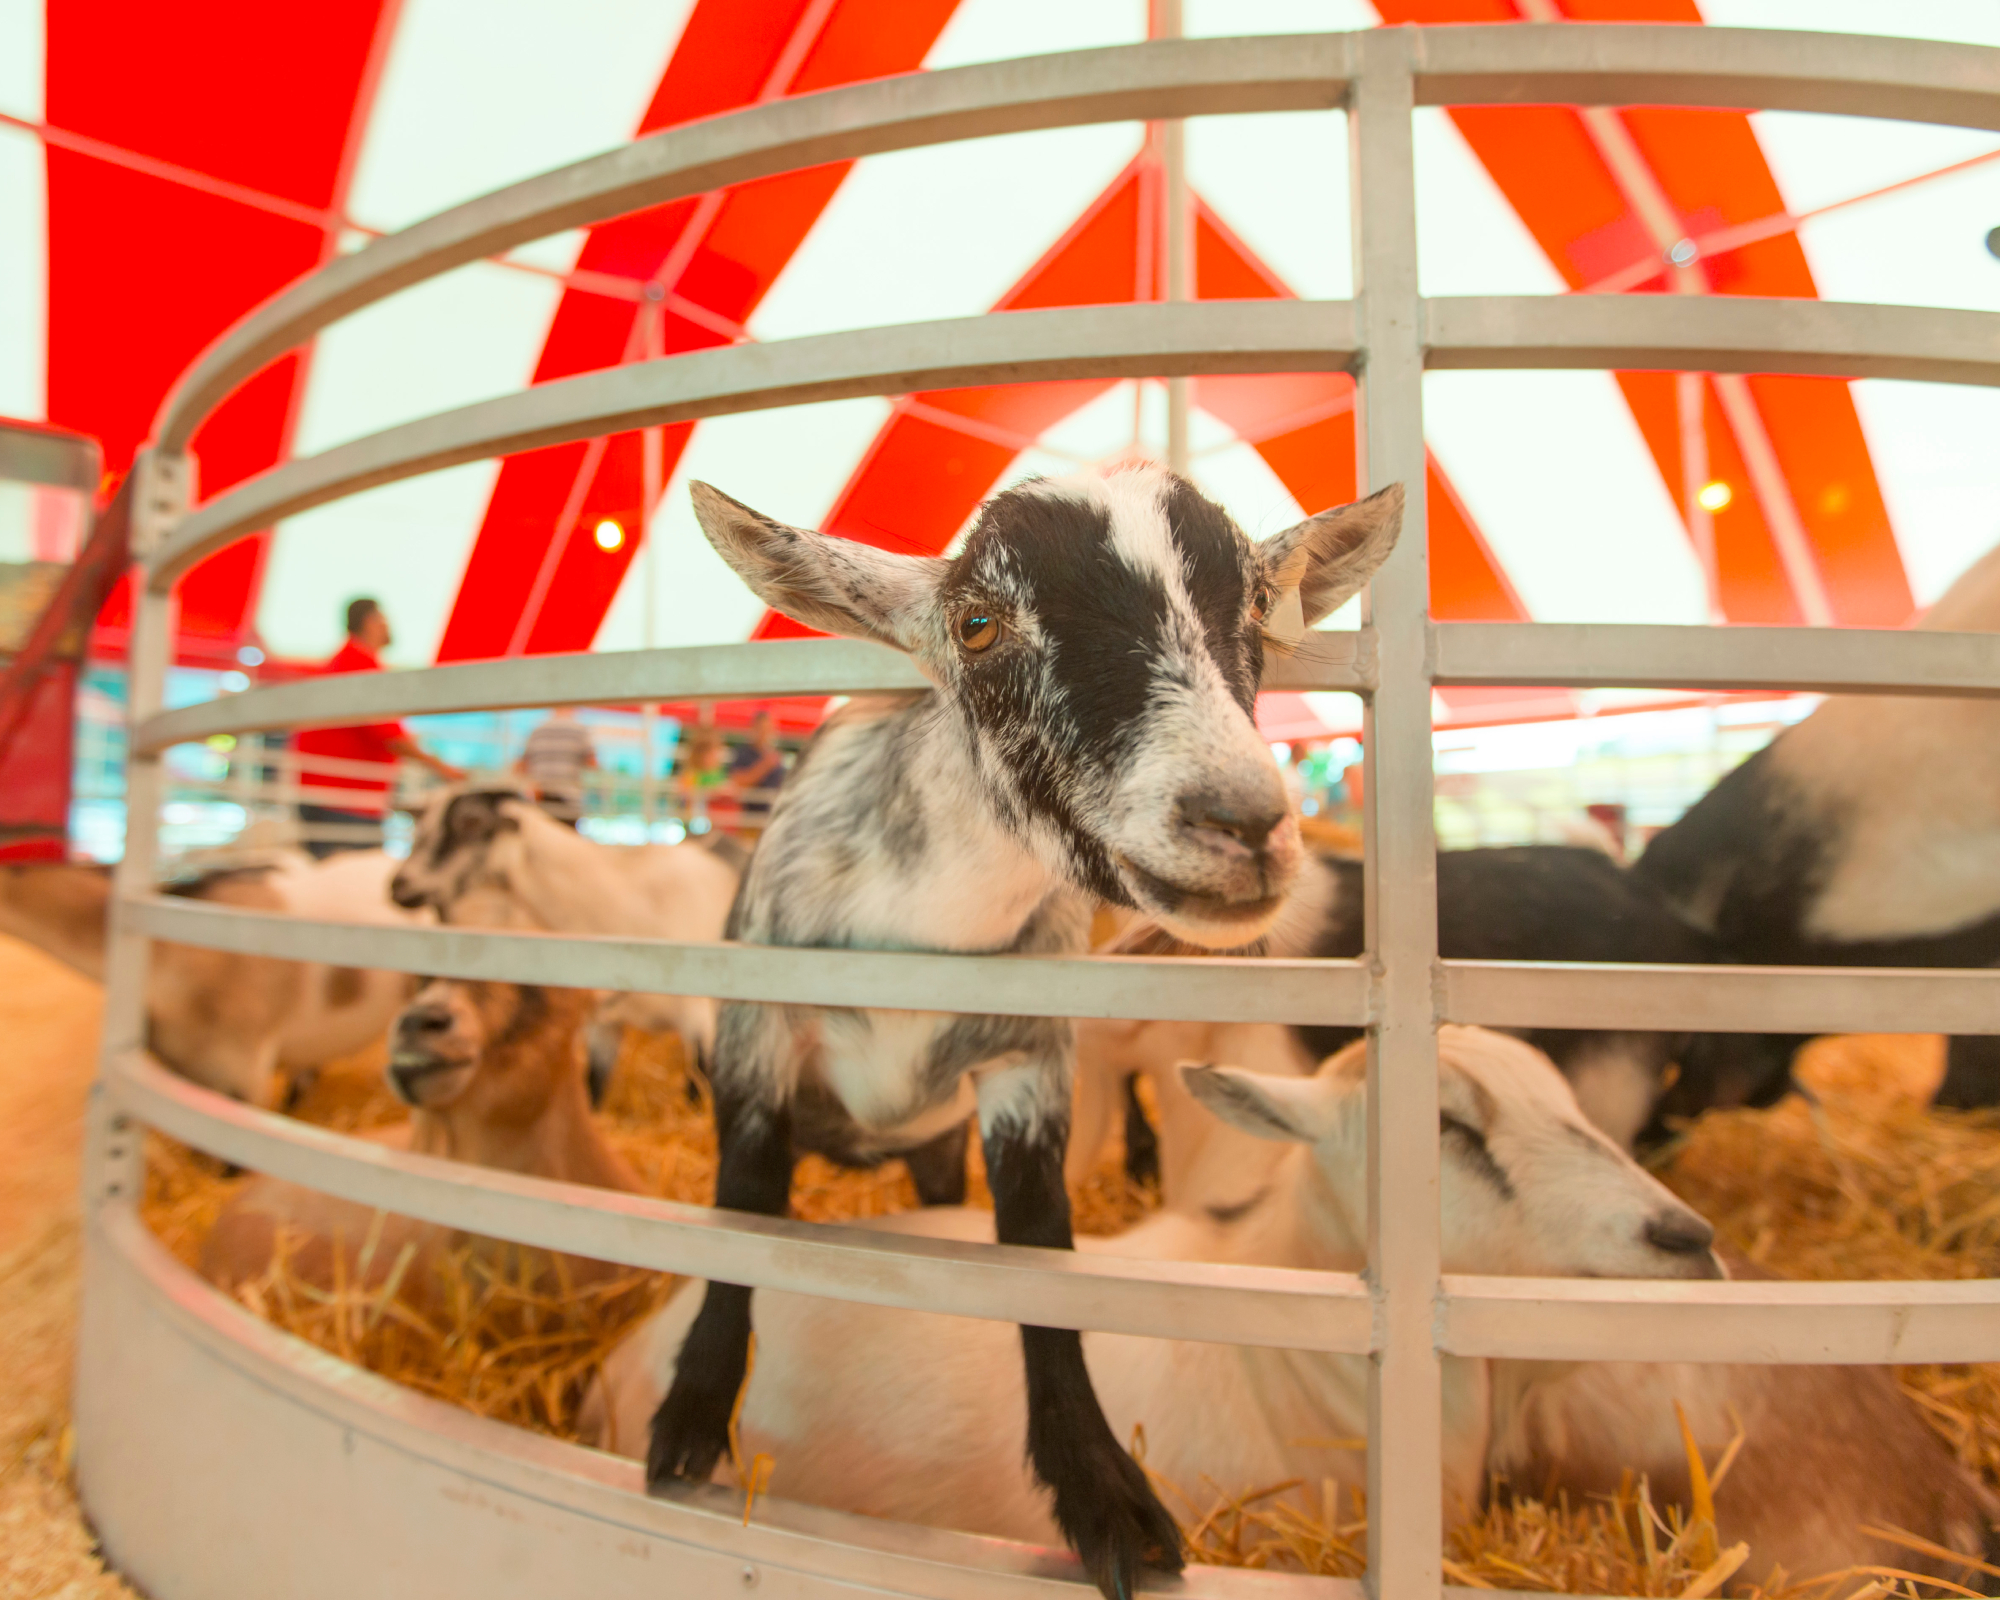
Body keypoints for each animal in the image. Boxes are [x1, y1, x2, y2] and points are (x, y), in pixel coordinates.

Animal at [637, 467, 1403, 1597]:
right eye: (977, 624)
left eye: (1257, 605)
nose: (1243, 822)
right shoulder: (755, 1044)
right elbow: (740, 1211)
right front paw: (688, 1422)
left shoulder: (1025, 1066)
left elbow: (1039, 1256)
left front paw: (1106, 1501)